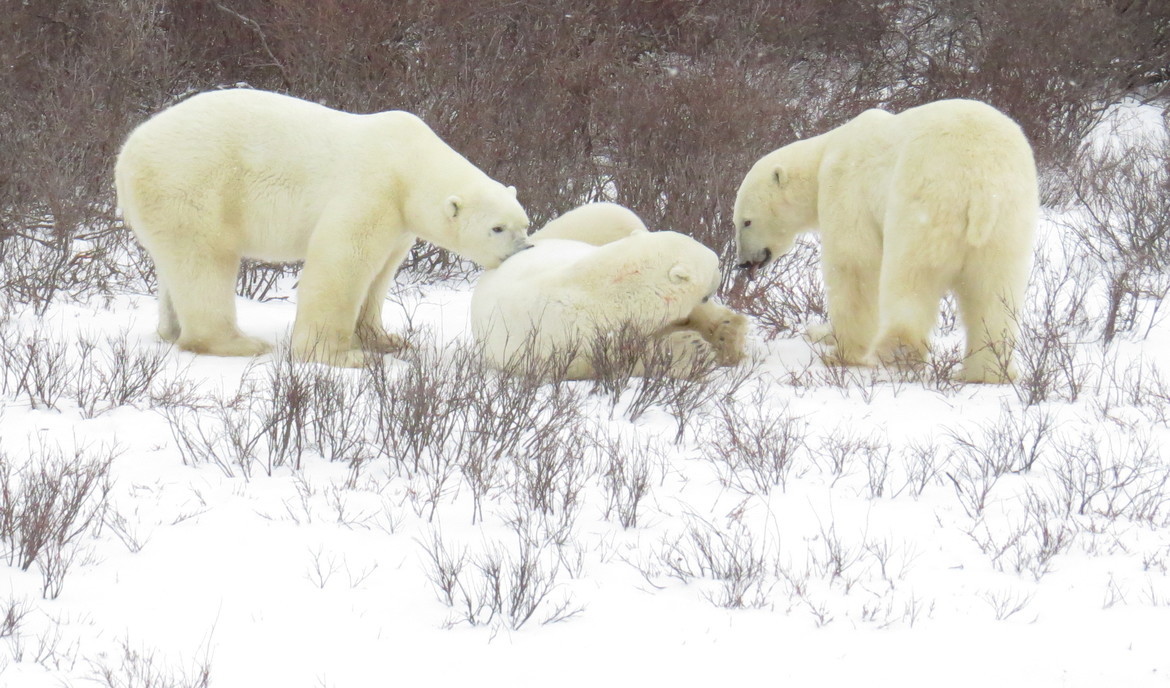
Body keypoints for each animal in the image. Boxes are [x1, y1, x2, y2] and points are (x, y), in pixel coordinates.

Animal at [115, 88, 530, 367]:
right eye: (497, 228)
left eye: (525, 224)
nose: (524, 250)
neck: (408, 164)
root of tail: (125, 154)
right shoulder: (371, 189)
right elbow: (343, 263)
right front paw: (341, 356)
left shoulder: (399, 222)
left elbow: (381, 273)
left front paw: (386, 339)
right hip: (193, 186)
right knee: (204, 262)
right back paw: (238, 343)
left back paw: (171, 330)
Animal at [471, 202, 747, 380]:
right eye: (715, 264)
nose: (720, 275)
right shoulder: (575, 344)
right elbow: (626, 361)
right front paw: (693, 349)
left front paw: (724, 334)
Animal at [733, 99, 1038, 383]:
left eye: (746, 221)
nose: (743, 262)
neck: (825, 154)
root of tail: (982, 183)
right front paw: (822, 333)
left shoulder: (846, 186)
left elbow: (854, 265)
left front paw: (841, 351)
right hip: (1009, 222)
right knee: (995, 293)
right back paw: (986, 371)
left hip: (926, 201)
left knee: (911, 277)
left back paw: (899, 351)